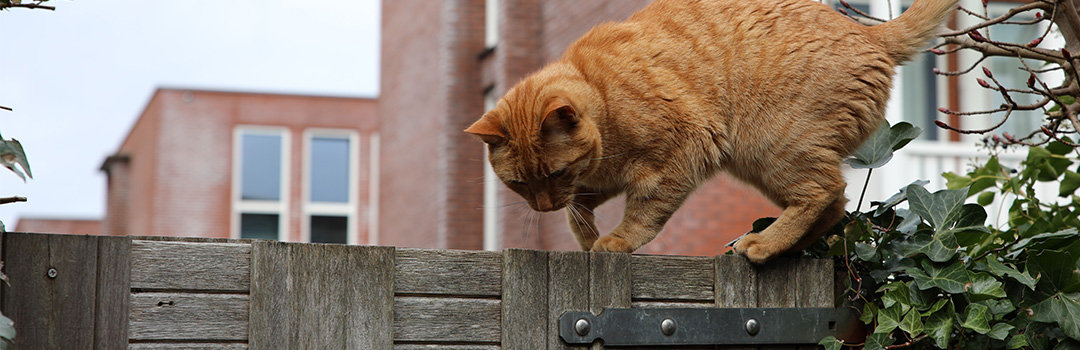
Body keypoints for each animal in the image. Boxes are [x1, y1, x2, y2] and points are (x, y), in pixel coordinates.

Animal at [464, 0, 954, 262]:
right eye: (520, 184)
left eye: (555, 173)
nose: (543, 207)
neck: (602, 96)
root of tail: (870, 36)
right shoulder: (602, 179)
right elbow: (579, 210)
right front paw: (585, 237)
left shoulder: (680, 153)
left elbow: (644, 212)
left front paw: (615, 240)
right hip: (756, 162)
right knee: (835, 205)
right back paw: (782, 247)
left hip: (770, 146)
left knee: (823, 191)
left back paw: (763, 244)